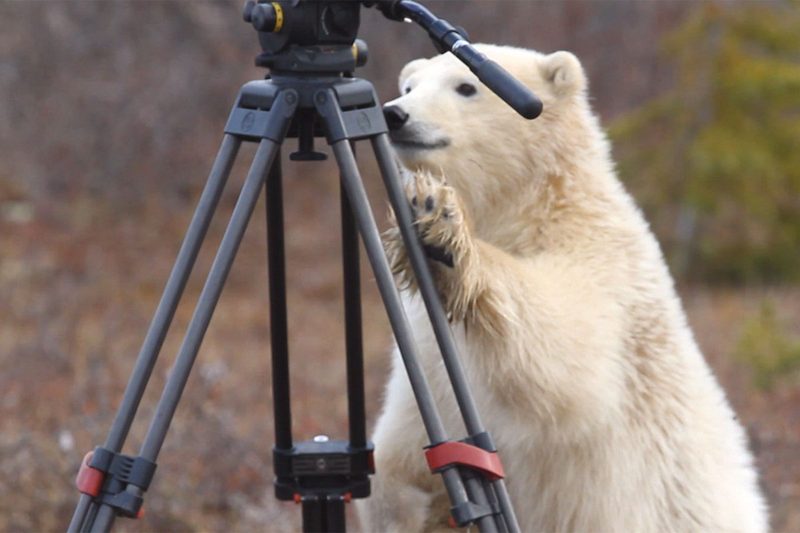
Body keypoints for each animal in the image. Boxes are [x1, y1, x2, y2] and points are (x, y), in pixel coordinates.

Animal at [355, 44, 768, 532]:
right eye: (409, 86)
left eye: (466, 86)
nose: (396, 114)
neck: (532, 207)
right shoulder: (426, 349)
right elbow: (406, 451)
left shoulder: (603, 264)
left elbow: (561, 350)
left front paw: (441, 226)